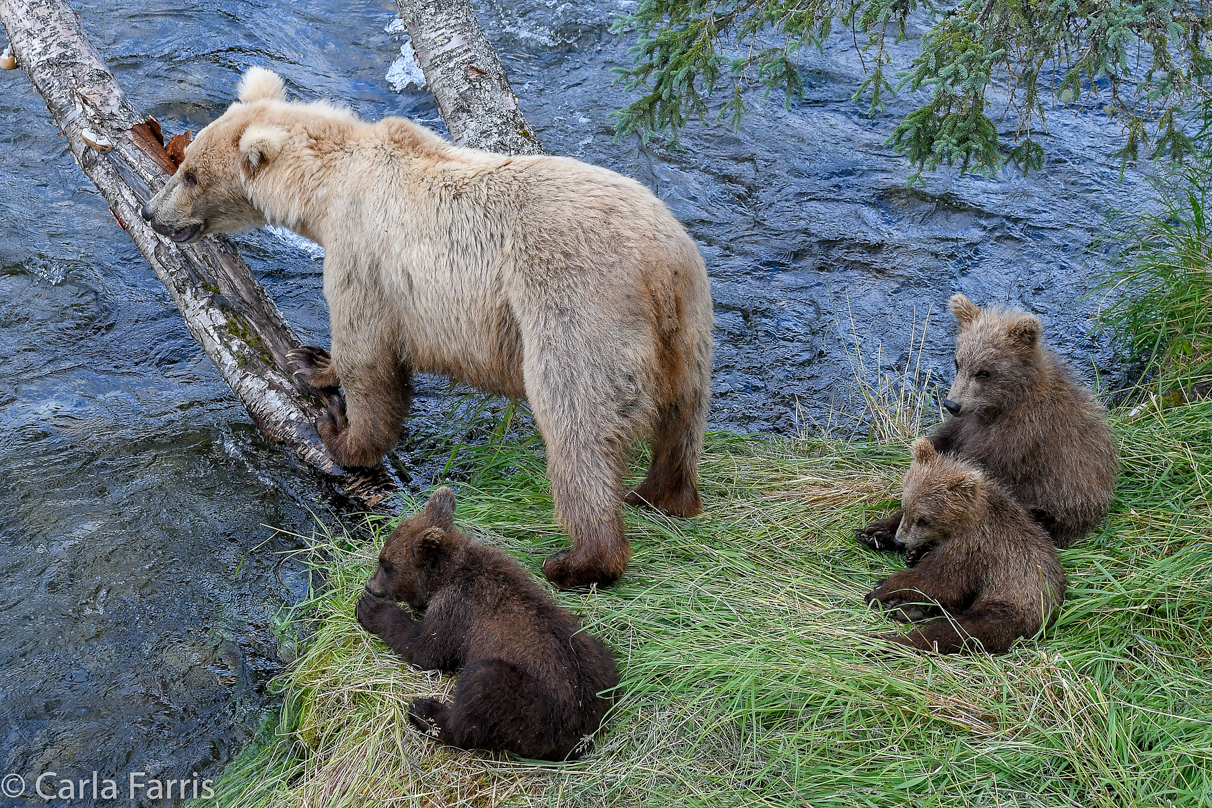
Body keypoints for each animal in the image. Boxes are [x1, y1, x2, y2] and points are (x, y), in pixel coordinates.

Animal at [141, 67, 712, 588]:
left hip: (576, 308)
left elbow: (368, 354)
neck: (325, 192)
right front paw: (311, 358)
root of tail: (660, 266)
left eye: (190, 173)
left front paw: (337, 426)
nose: (150, 213)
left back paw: (579, 559)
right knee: (681, 416)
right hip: (688, 323)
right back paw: (660, 494)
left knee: (578, 423)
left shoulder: (363, 255)